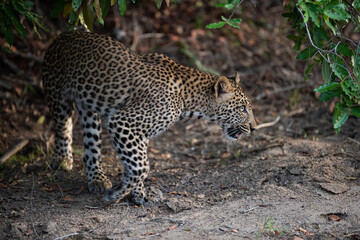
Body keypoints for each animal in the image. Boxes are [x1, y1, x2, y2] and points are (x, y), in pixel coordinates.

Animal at [41, 31, 256, 205]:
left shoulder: (138, 133)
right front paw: (117, 195)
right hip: (58, 96)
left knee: (90, 146)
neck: (188, 99)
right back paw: (62, 160)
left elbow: (136, 164)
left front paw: (137, 195)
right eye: (242, 108)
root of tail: (62, 35)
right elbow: (141, 166)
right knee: (63, 127)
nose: (254, 128)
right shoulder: (123, 122)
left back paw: (97, 179)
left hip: (88, 108)